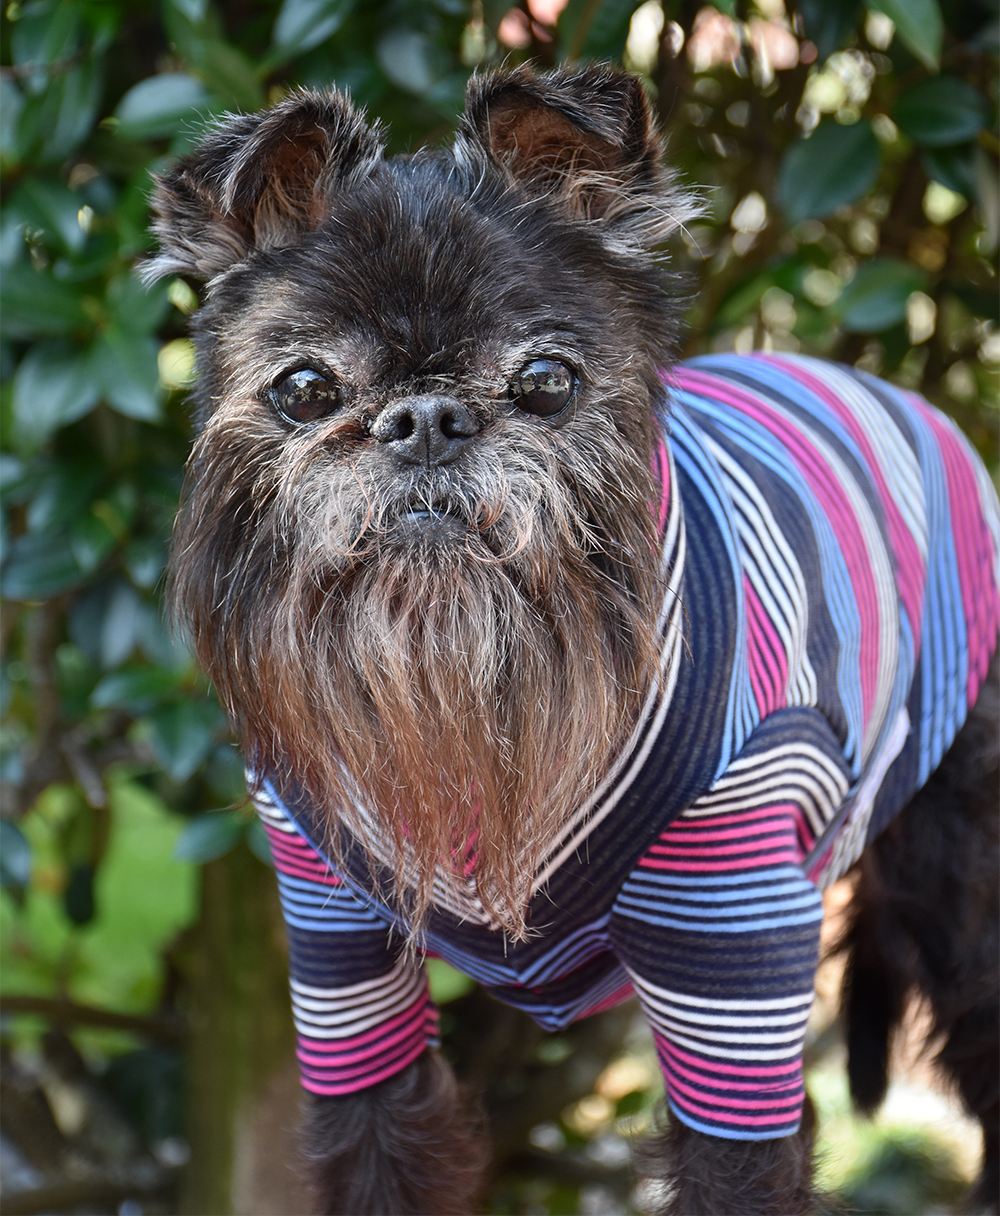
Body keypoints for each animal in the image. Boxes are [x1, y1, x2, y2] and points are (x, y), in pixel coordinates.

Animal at [142, 69, 1000, 1216]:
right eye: (305, 388)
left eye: (546, 379)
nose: (423, 417)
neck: (468, 688)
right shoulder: (342, 972)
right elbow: (377, 1148)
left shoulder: (734, 962)